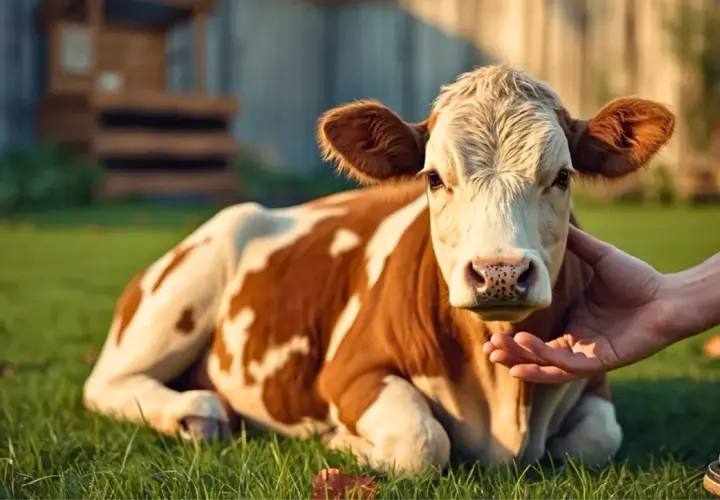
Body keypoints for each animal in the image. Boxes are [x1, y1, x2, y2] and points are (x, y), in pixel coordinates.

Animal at [82, 64, 675, 476]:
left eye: (562, 176)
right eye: (433, 177)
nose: (500, 273)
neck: (505, 404)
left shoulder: (592, 376)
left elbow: (596, 441)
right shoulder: (349, 372)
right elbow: (422, 443)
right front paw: (341, 440)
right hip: (186, 286)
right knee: (106, 384)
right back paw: (194, 412)